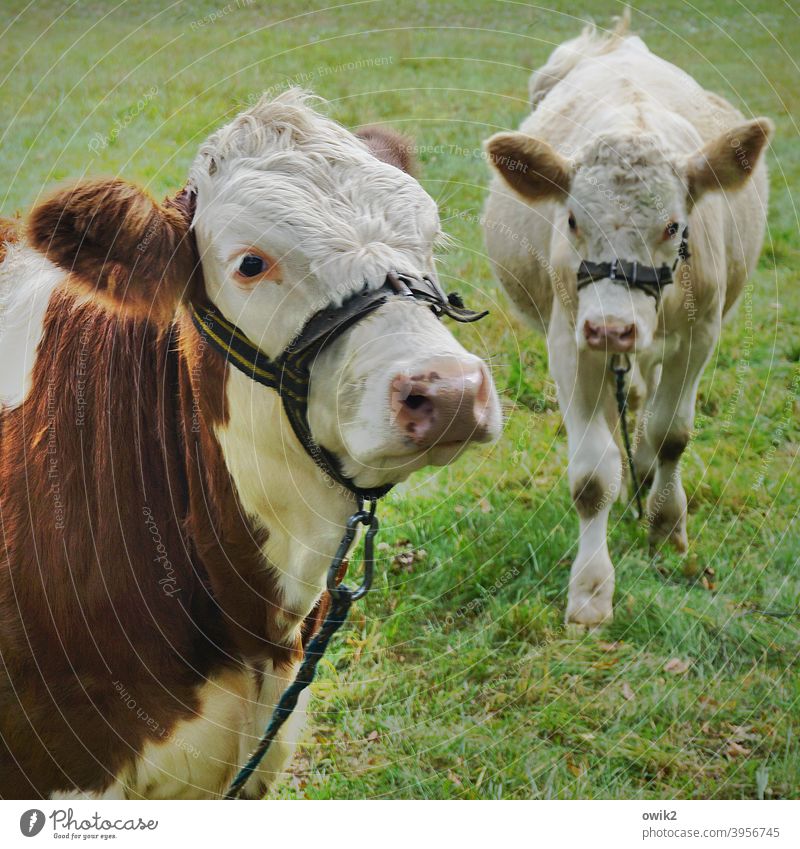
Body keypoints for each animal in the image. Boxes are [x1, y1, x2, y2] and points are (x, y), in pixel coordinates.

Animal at [484, 13, 772, 624]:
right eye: (571, 219)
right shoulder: (570, 342)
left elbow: (672, 434)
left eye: (673, 225)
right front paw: (591, 591)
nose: (611, 327)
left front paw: (666, 524)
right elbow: (592, 474)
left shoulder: (700, 335)